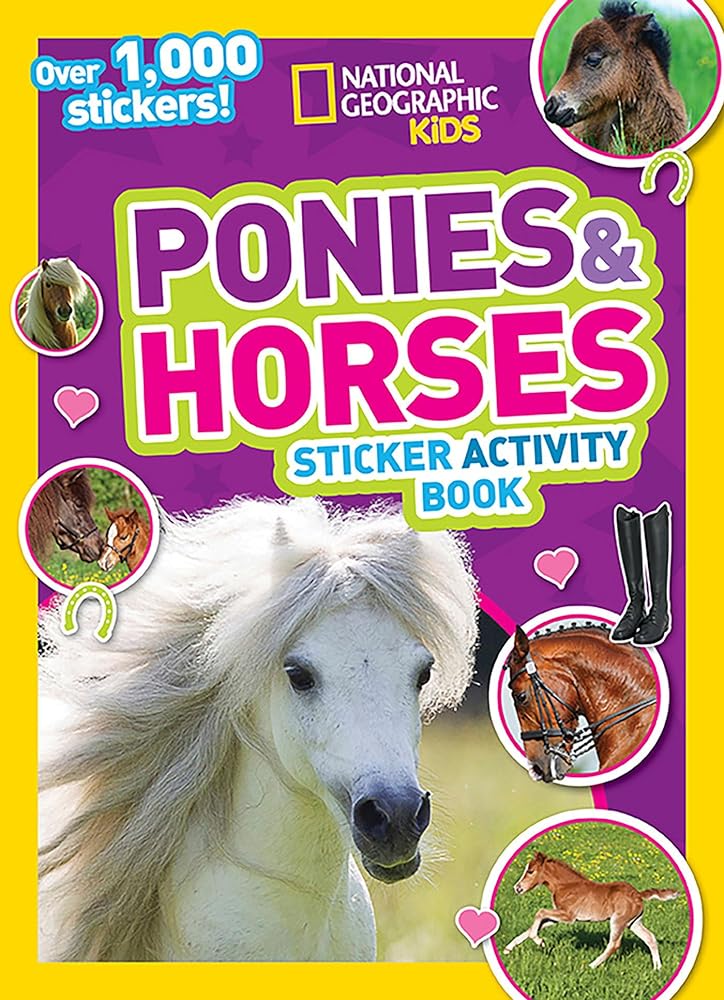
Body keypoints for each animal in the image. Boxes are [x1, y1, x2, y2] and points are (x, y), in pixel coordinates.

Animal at [503, 851, 679, 969]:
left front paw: (540, 942)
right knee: (650, 938)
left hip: (618, 921)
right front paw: (508, 948)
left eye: (530, 871)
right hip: (633, 922)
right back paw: (657, 968)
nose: (517, 888)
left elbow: (539, 913)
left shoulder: (568, 916)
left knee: (614, 944)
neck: (566, 885)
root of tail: (638, 894)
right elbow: (534, 925)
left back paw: (591, 965)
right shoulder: (558, 916)